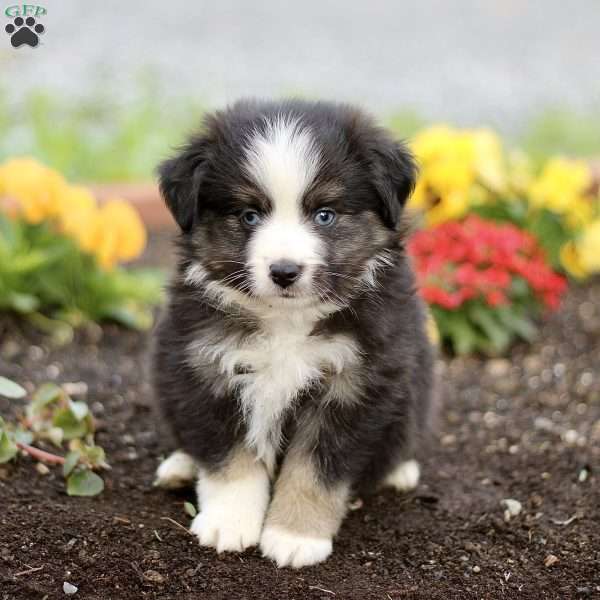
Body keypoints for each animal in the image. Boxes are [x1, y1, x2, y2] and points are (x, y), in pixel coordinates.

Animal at [154, 98, 436, 568]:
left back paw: (401, 469)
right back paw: (179, 465)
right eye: (248, 215)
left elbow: (315, 470)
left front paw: (295, 536)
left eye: (325, 214)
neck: (286, 322)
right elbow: (228, 458)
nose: (284, 271)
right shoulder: (205, 368)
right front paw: (228, 523)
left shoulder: (354, 384)